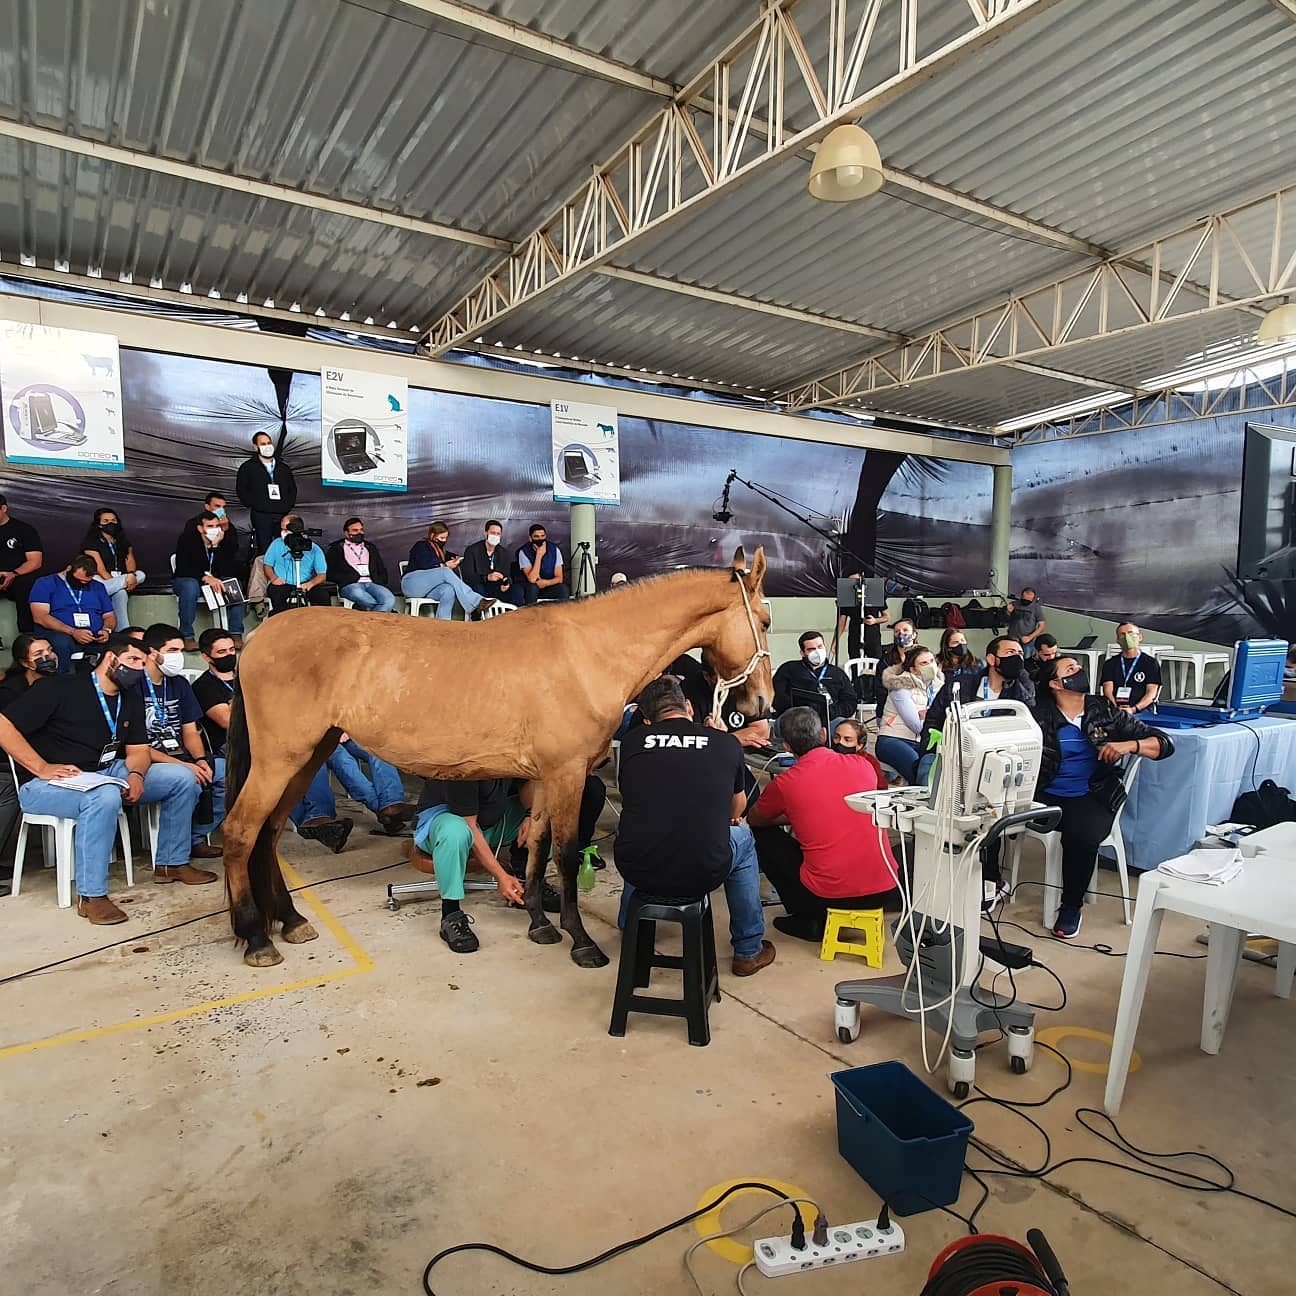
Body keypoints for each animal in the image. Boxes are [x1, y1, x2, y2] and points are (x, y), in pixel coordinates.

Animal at [220, 546, 767, 974]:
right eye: (763, 621)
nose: (759, 706)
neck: (587, 651)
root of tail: (258, 637)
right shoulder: (567, 774)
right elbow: (566, 854)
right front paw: (582, 943)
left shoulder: (546, 779)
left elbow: (537, 847)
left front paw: (541, 924)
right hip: (279, 760)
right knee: (241, 832)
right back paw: (258, 939)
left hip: (308, 756)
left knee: (268, 833)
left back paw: (291, 921)